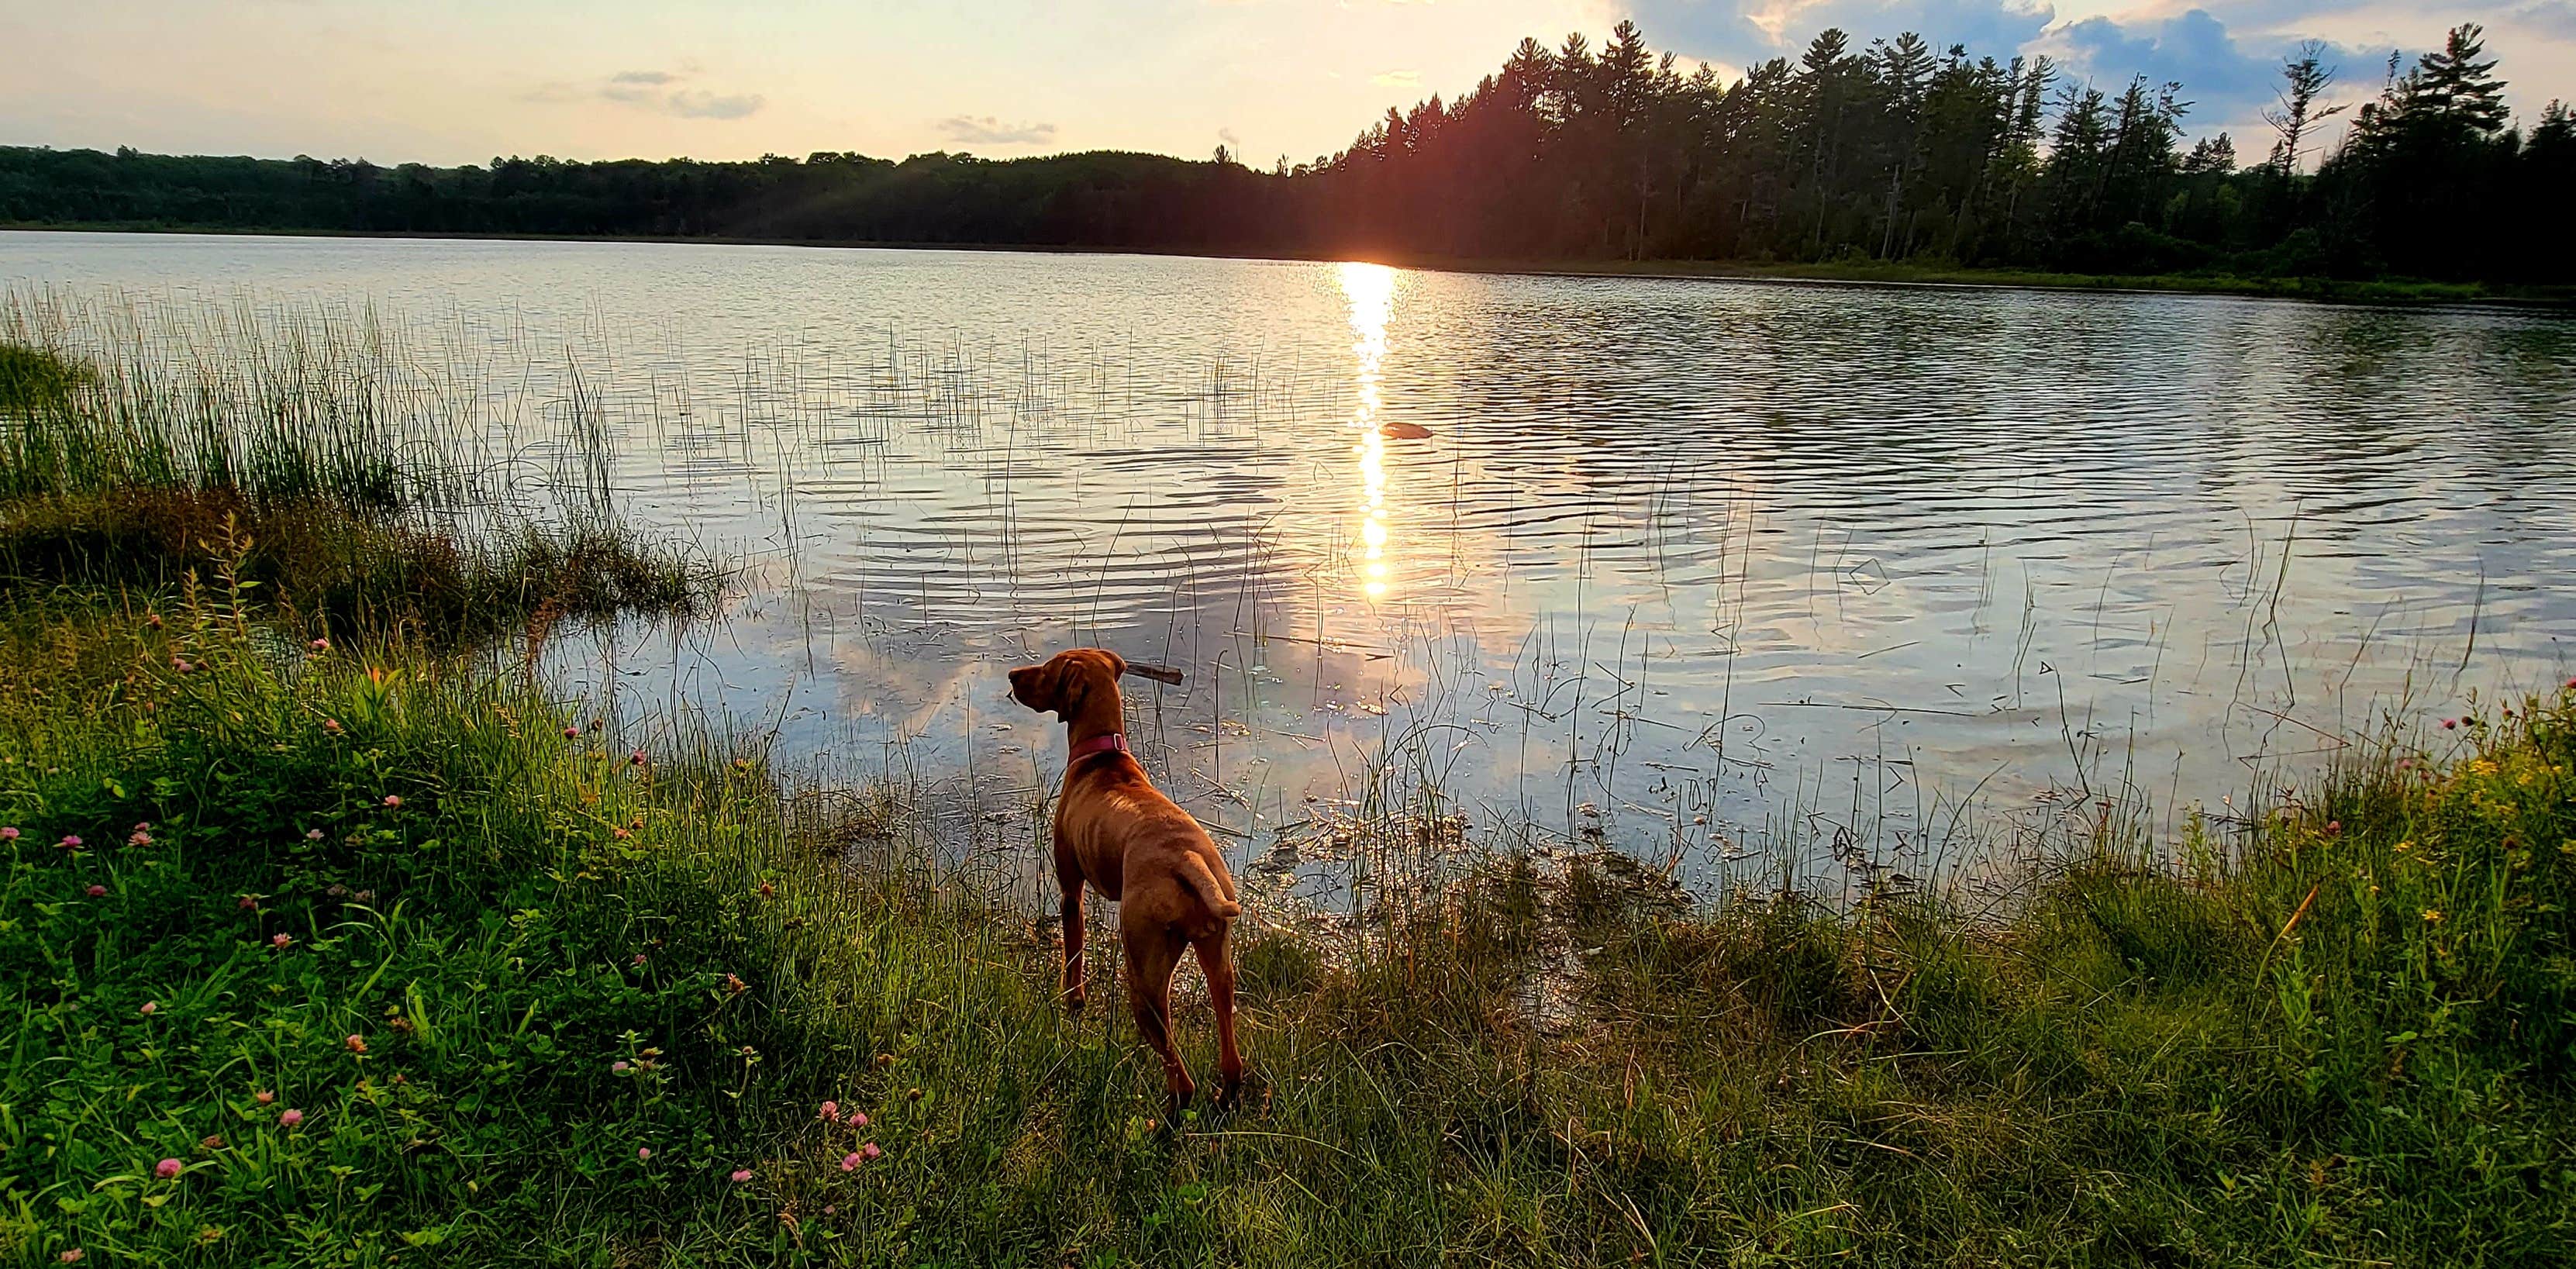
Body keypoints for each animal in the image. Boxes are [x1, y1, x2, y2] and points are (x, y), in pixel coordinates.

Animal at [1004, 648, 1247, 1102]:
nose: (1011, 674)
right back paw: (1225, 1097)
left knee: (1180, 1078)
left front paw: (1073, 1002)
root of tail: (1187, 858)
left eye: (1047, 667)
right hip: (1219, 965)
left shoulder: (1071, 892)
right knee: (1231, 1057)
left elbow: (1073, 957)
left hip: (1144, 975)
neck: (1103, 755)